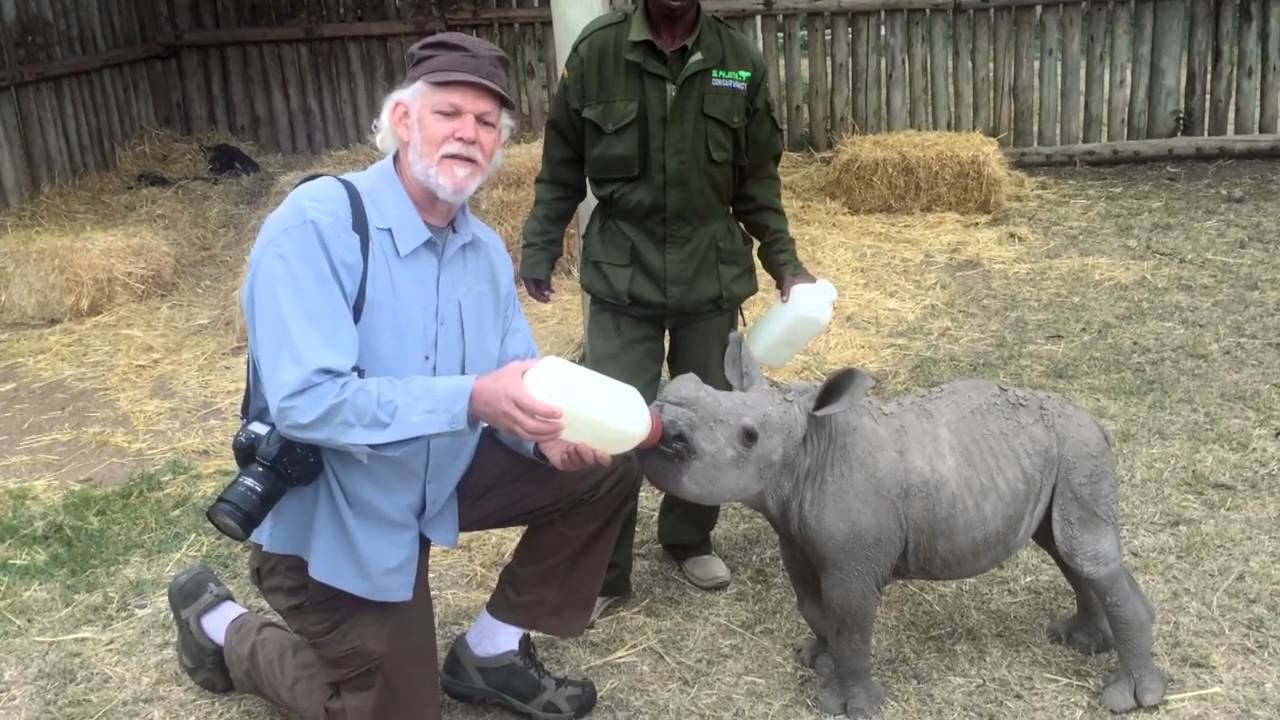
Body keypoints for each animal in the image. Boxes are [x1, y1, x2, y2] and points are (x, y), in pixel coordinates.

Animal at [637, 332, 1169, 718]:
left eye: (748, 437)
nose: (662, 424)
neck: (807, 453)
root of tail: (1095, 422)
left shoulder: (853, 566)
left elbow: (850, 620)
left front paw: (847, 705)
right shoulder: (794, 538)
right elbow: (813, 605)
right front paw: (817, 660)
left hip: (1079, 449)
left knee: (1082, 552)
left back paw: (1131, 699)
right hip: (1060, 456)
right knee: (1065, 549)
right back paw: (1081, 642)